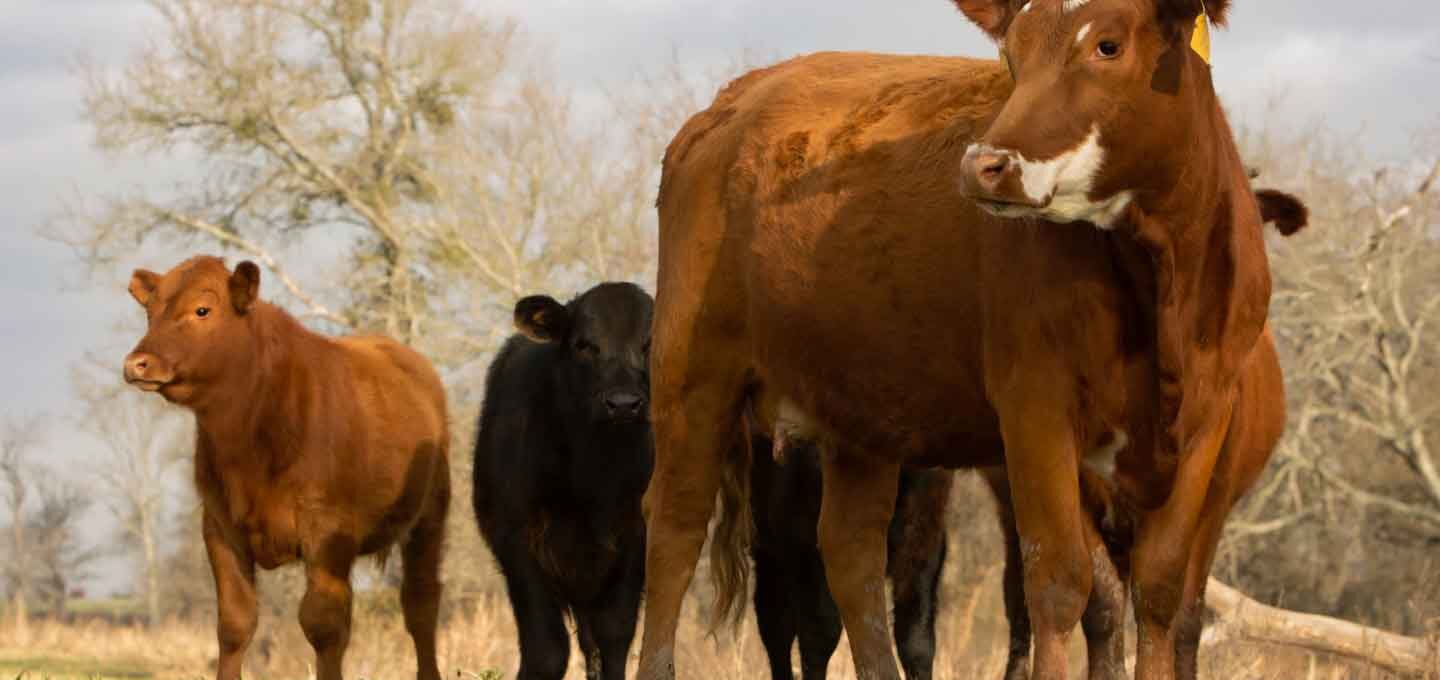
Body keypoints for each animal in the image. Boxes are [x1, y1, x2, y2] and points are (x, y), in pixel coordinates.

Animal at [123, 256, 449, 680]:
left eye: (202, 310)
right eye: (149, 312)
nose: (137, 364)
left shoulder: (328, 530)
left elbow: (323, 625)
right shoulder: (219, 526)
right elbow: (235, 623)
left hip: (430, 516)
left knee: (420, 605)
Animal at [642, 1, 1272, 680]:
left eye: (1108, 45)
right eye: (1011, 55)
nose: (983, 166)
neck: (1160, 282)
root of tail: (730, 104)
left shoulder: (1207, 421)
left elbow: (1158, 592)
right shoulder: (1037, 411)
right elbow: (1060, 584)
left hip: (858, 409)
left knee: (852, 554)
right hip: (692, 373)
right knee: (675, 528)